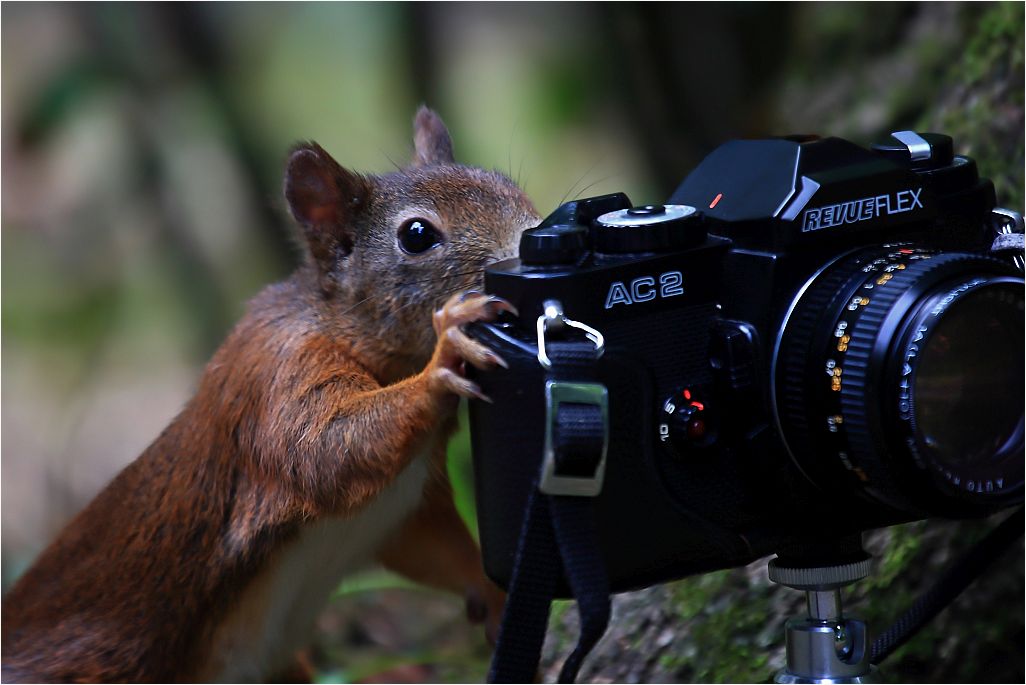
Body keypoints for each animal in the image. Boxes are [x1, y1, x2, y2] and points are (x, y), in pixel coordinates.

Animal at [2, 105, 545, 680]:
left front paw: (494, 593)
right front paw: (446, 351)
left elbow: (432, 543)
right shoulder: (279, 373)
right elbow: (326, 446)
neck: (351, 333)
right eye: (417, 235)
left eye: (507, 185)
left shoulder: (408, 503)